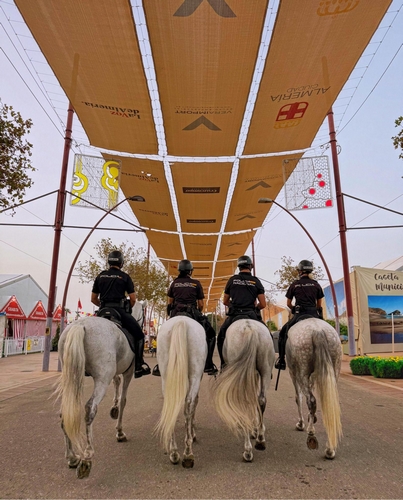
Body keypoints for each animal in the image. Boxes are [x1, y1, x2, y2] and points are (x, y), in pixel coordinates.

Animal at [56, 301, 145, 479]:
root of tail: (80, 325)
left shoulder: (116, 372)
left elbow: (117, 384)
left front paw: (114, 409)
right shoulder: (128, 372)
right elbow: (124, 400)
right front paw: (119, 432)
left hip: (72, 375)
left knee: (65, 413)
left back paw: (72, 457)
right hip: (102, 378)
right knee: (90, 408)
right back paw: (87, 457)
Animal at [154, 316, 207, 468]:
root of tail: (181, 321)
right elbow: (194, 403)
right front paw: (193, 432)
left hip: (166, 376)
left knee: (171, 404)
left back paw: (174, 453)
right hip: (195, 375)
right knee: (189, 405)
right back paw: (188, 454)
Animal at [213, 319, 275, 462]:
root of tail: (250, 329)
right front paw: (255, 429)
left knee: (244, 403)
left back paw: (247, 450)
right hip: (265, 369)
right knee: (261, 400)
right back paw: (260, 439)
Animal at [286, 317, 343, 459]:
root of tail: (318, 330)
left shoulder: (293, 372)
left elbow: (298, 398)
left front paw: (301, 423)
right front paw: (311, 417)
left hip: (301, 370)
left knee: (311, 400)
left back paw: (311, 434)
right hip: (334, 367)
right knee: (329, 403)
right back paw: (330, 449)